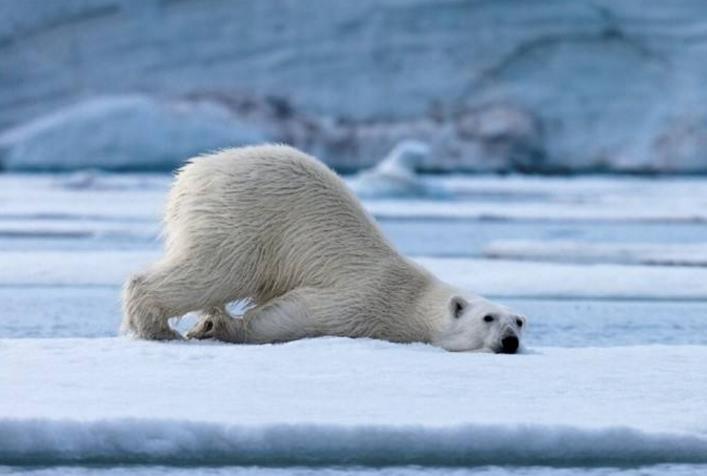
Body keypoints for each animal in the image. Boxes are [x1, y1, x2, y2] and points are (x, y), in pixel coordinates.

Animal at [121, 145, 524, 354]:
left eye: (519, 320)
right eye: (488, 318)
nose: (510, 341)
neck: (412, 297)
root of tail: (190, 174)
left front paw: (211, 323)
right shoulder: (362, 300)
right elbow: (295, 314)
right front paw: (218, 327)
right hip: (239, 219)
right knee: (215, 270)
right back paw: (157, 328)